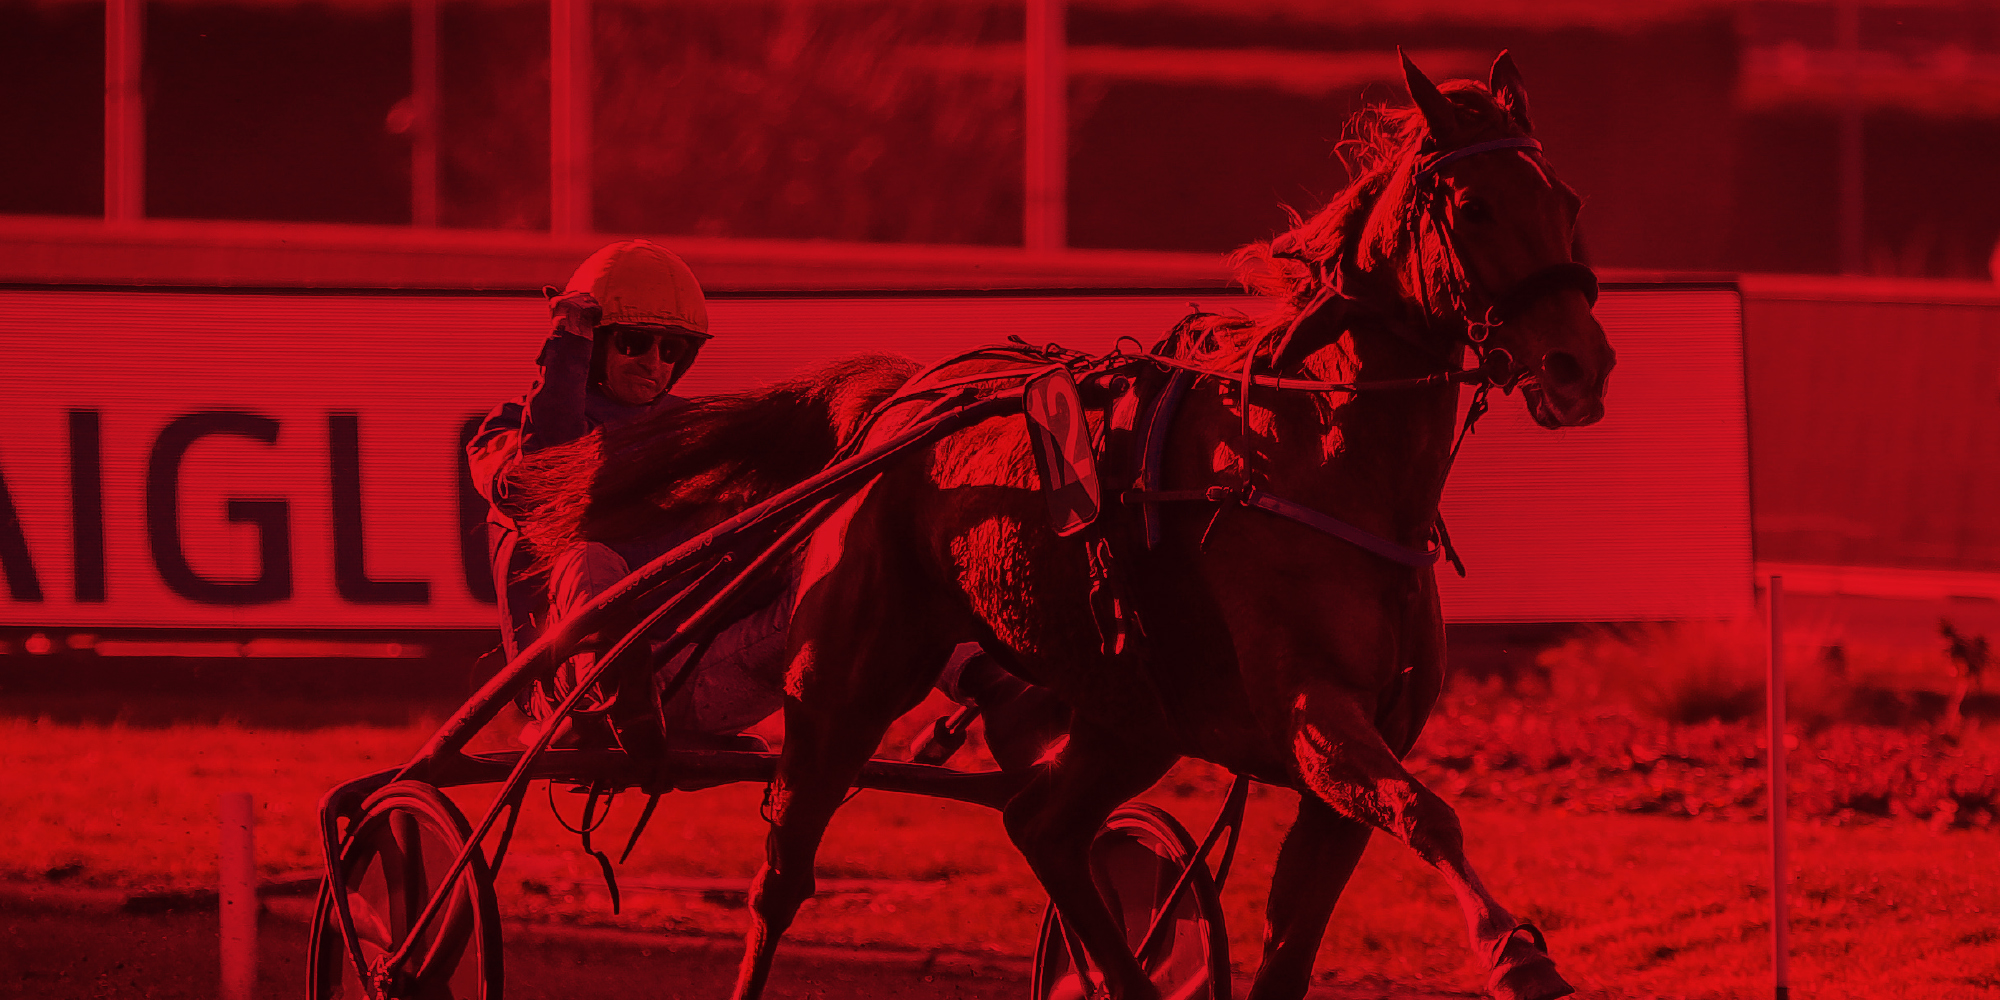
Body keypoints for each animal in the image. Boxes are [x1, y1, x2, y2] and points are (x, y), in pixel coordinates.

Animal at [528, 48, 1608, 1000]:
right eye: (1472, 206)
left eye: (1565, 200)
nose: (1578, 365)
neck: (1317, 464)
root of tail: (899, 401)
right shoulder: (1314, 721)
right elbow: (1424, 809)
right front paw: (1517, 955)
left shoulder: (1333, 765)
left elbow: (1303, 936)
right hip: (844, 683)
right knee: (784, 871)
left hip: (1130, 716)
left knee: (1042, 824)